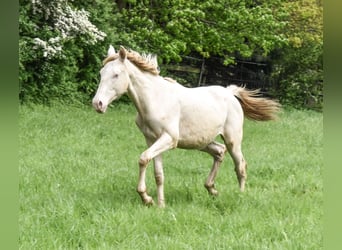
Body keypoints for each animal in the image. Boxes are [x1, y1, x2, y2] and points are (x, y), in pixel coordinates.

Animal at [91, 45, 280, 207]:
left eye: (116, 74)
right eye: (101, 73)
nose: (97, 104)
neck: (155, 99)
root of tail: (230, 92)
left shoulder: (169, 139)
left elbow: (143, 158)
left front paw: (147, 198)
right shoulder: (152, 140)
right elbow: (158, 174)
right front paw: (160, 204)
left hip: (232, 140)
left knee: (240, 165)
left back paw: (239, 195)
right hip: (202, 142)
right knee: (219, 152)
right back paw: (212, 190)